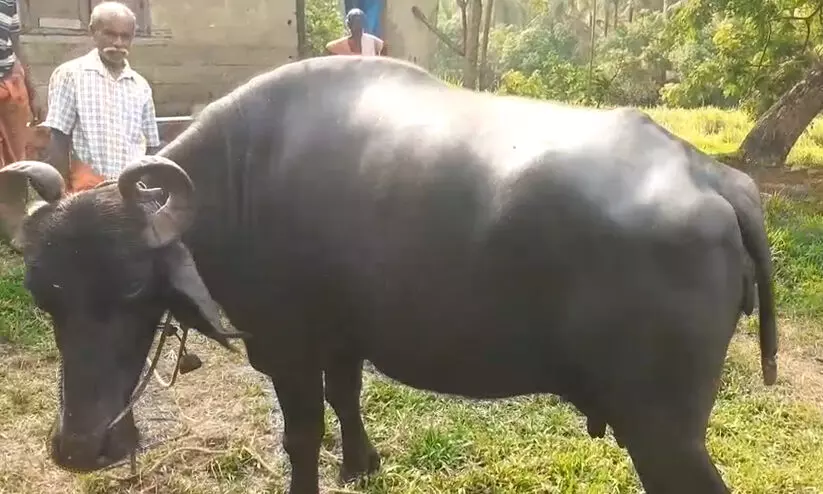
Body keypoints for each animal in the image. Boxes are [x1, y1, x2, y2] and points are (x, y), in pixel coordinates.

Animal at [0, 55, 777, 494]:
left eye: (135, 288)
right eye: (46, 298)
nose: (79, 449)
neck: (240, 182)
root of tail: (712, 178)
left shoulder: (286, 347)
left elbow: (302, 434)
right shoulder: (343, 337)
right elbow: (346, 397)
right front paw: (361, 465)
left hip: (662, 430)